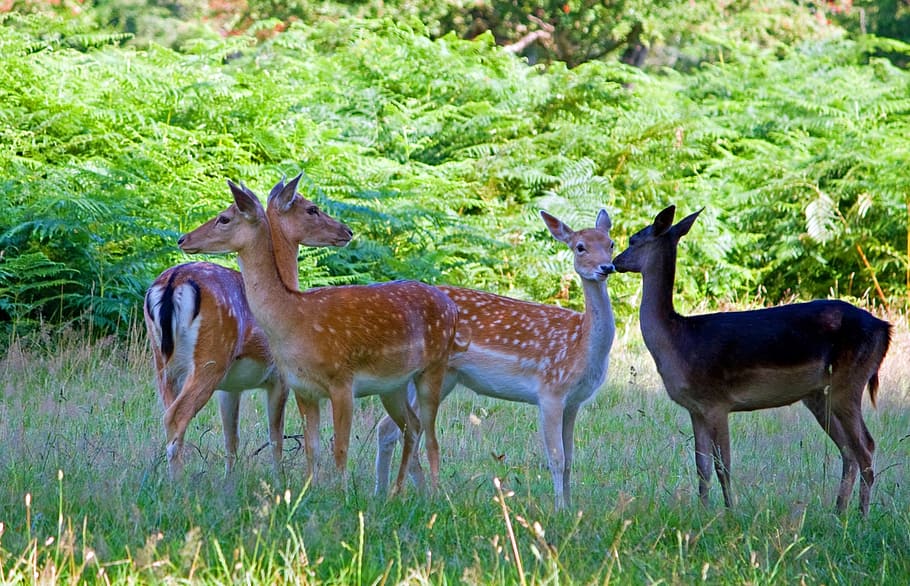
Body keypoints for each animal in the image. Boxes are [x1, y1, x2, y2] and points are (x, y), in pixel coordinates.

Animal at [144, 181, 353, 479]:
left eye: (223, 216)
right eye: (312, 209)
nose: (347, 231)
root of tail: (173, 282)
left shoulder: (230, 387)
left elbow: (231, 438)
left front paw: (230, 480)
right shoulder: (279, 377)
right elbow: (275, 436)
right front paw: (278, 478)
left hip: (162, 362)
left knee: (168, 413)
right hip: (211, 357)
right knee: (176, 415)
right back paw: (177, 482)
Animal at [177, 178, 468, 493]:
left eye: (224, 218)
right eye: (312, 209)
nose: (183, 238)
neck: (294, 319)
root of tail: (451, 307)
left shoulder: (342, 380)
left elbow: (339, 448)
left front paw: (342, 494)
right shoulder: (302, 388)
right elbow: (311, 448)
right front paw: (309, 491)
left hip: (435, 368)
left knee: (432, 439)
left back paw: (435, 495)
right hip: (393, 385)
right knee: (412, 428)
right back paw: (396, 493)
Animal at [375, 209, 617, 509]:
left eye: (611, 244)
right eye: (580, 247)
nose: (606, 267)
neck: (580, 346)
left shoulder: (574, 401)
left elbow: (571, 458)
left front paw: (571, 507)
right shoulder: (550, 390)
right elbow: (557, 458)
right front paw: (559, 509)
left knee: (389, 428)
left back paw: (384, 494)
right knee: (400, 428)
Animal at [612, 205, 891, 516]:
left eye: (633, 240)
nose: (614, 262)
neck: (679, 341)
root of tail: (884, 329)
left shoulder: (717, 402)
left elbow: (723, 466)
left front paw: (730, 512)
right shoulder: (695, 408)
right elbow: (701, 467)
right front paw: (702, 512)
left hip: (850, 381)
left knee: (866, 447)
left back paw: (861, 515)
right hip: (820, 396)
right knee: (848, 451)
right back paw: (838, 512)